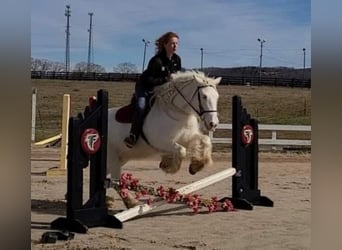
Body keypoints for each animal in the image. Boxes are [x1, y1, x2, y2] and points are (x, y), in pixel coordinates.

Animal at [106, 71, 222, 205]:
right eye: (204, 96)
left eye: (217, 97)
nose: (213, 124)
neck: (176, 111)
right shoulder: (160, 142)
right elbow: (181, 150)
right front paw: (169, 167)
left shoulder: (185, 138)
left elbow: (205, 140)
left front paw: (196, 166)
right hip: (113, 158)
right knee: (116, 182)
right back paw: (131, 202)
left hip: (121, 158)